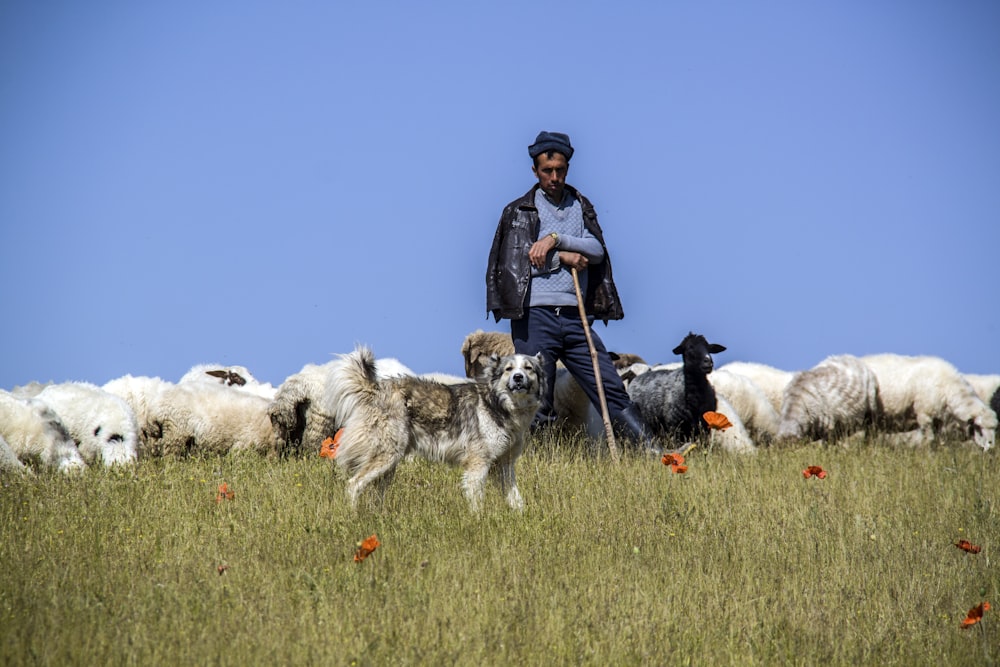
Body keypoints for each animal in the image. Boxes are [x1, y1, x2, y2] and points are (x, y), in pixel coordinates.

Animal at [328, 348, 544, 516]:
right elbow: (477, 500)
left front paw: (523, 518)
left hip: (389, 465)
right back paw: (353, 517)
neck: (497, 404)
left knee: (373, 492)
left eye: (528, 368)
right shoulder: (478, 464)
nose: (518, 377)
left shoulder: (505, 465)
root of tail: (375, 388)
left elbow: (516, 498)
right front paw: (479, 521)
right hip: (386, 455)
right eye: (509, 369)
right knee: (353, 485)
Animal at [864, 352, 996, 452]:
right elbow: (929, 439)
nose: (991, 447)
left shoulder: (938, 420)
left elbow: (936, 440)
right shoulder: (924, 414)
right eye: (979, 428)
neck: (949, 388)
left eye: (995, 429)